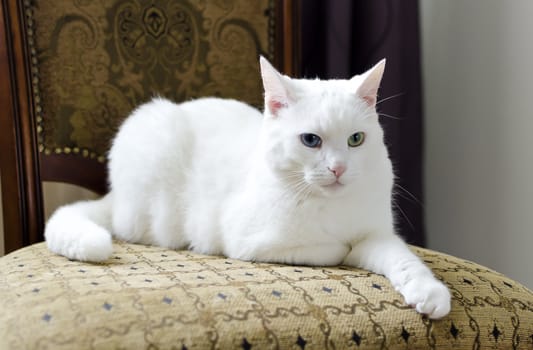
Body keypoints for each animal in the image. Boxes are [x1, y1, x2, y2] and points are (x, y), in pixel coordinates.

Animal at [45, 56, 448, 320]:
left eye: (356, 139)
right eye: (311, 140)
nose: (338, 169)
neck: (327, 204)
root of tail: (114, 197)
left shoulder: (376, 234)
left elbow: (402, 258)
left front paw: (428, 292)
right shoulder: (252, 242)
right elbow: (333, 249)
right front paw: (340, 248)